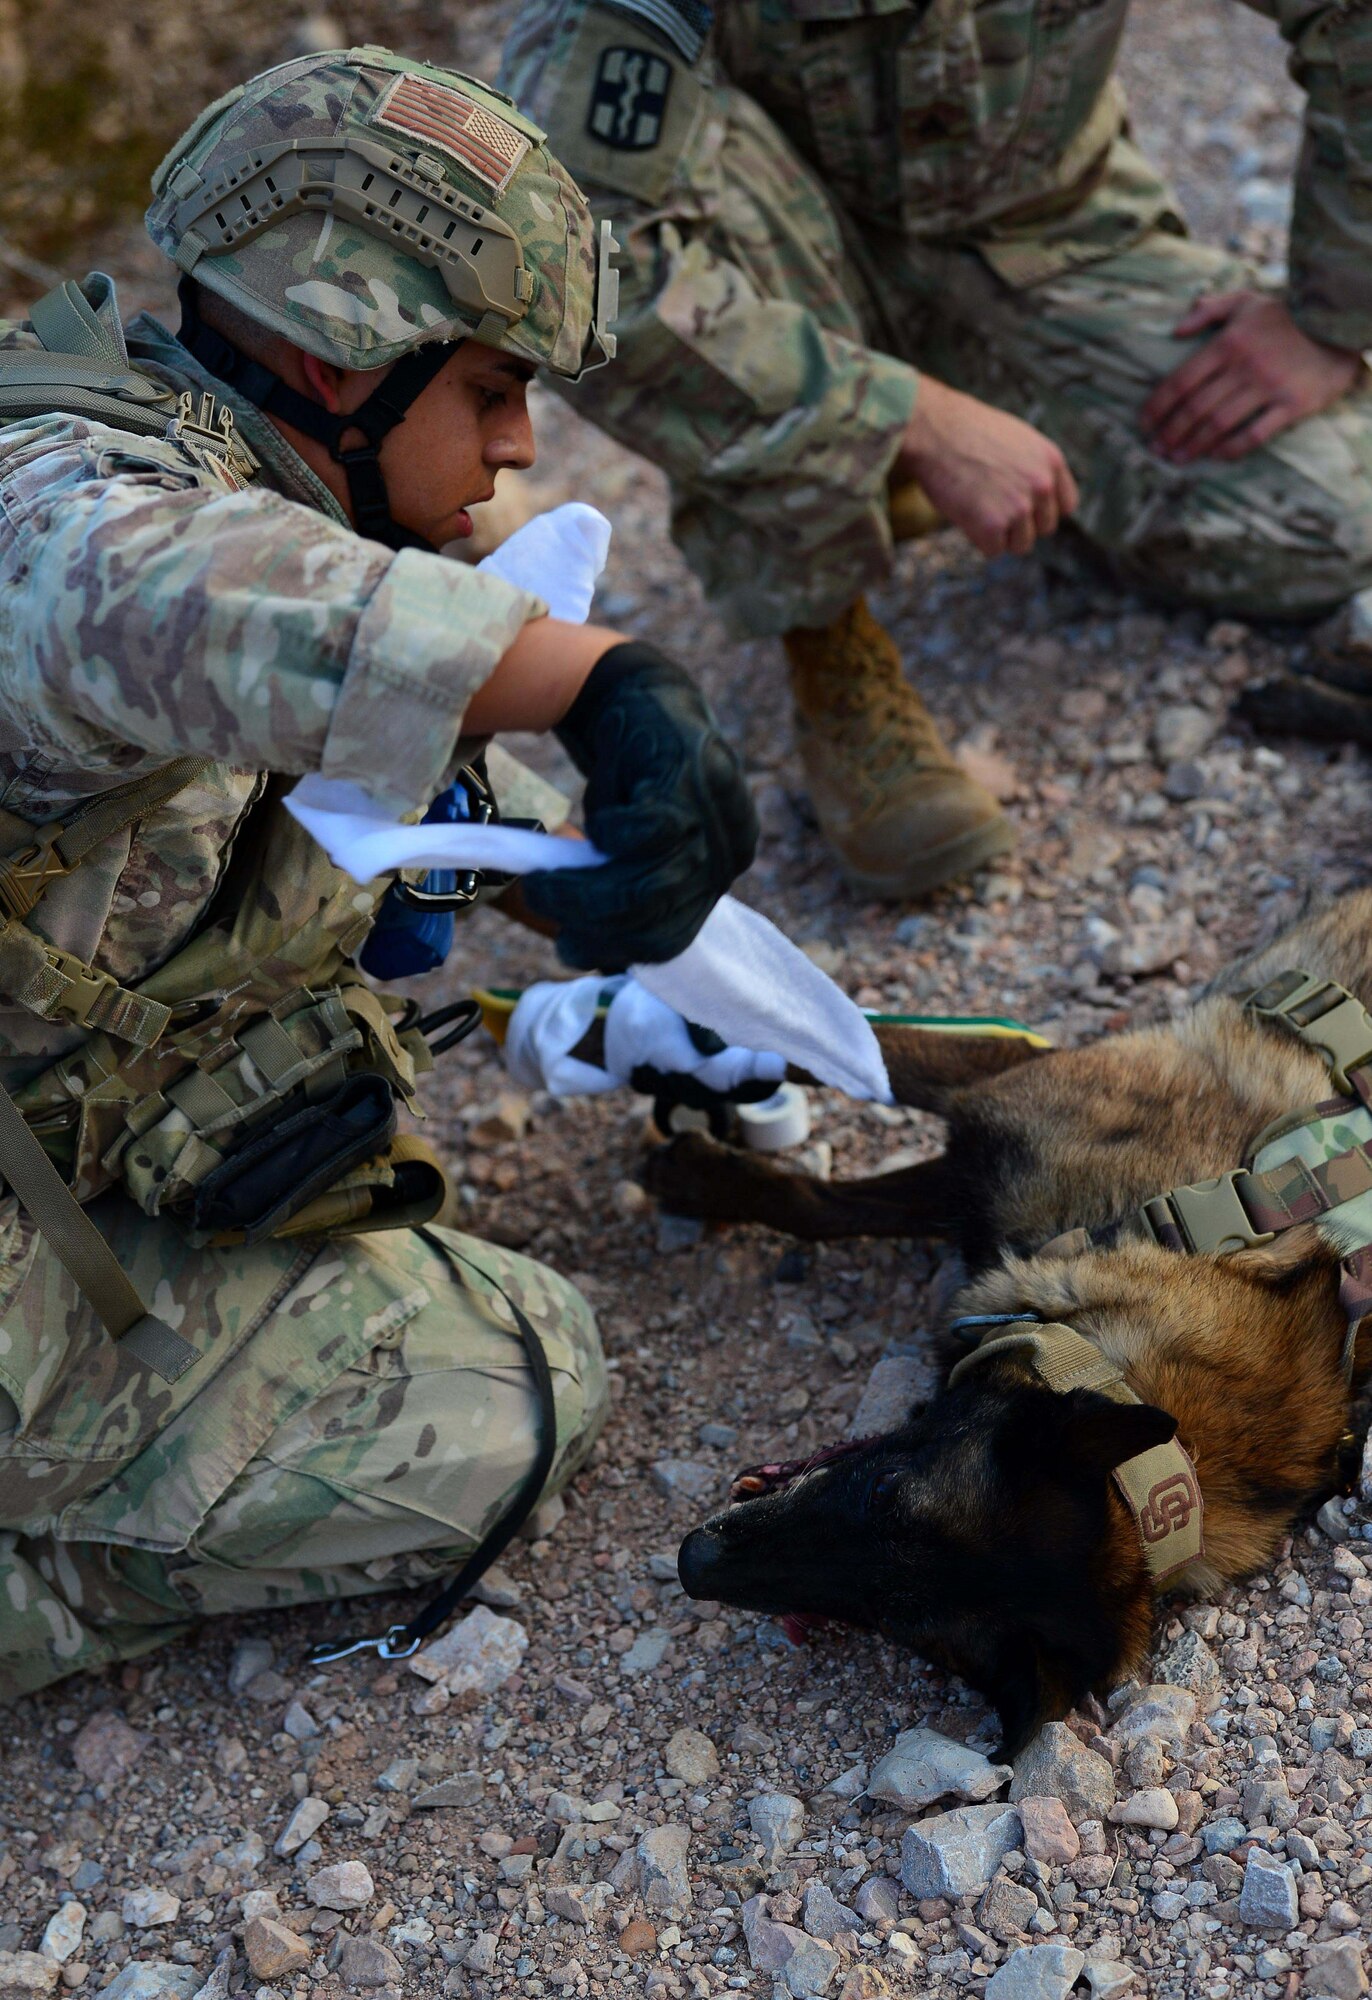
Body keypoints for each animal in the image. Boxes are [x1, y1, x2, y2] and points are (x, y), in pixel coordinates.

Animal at [644, 892, 1372, 1752]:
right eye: (884, 1490)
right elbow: (835, 1091)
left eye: (893, 1620)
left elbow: (836, 1094)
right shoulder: (997, 1107)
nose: (694, 1562)